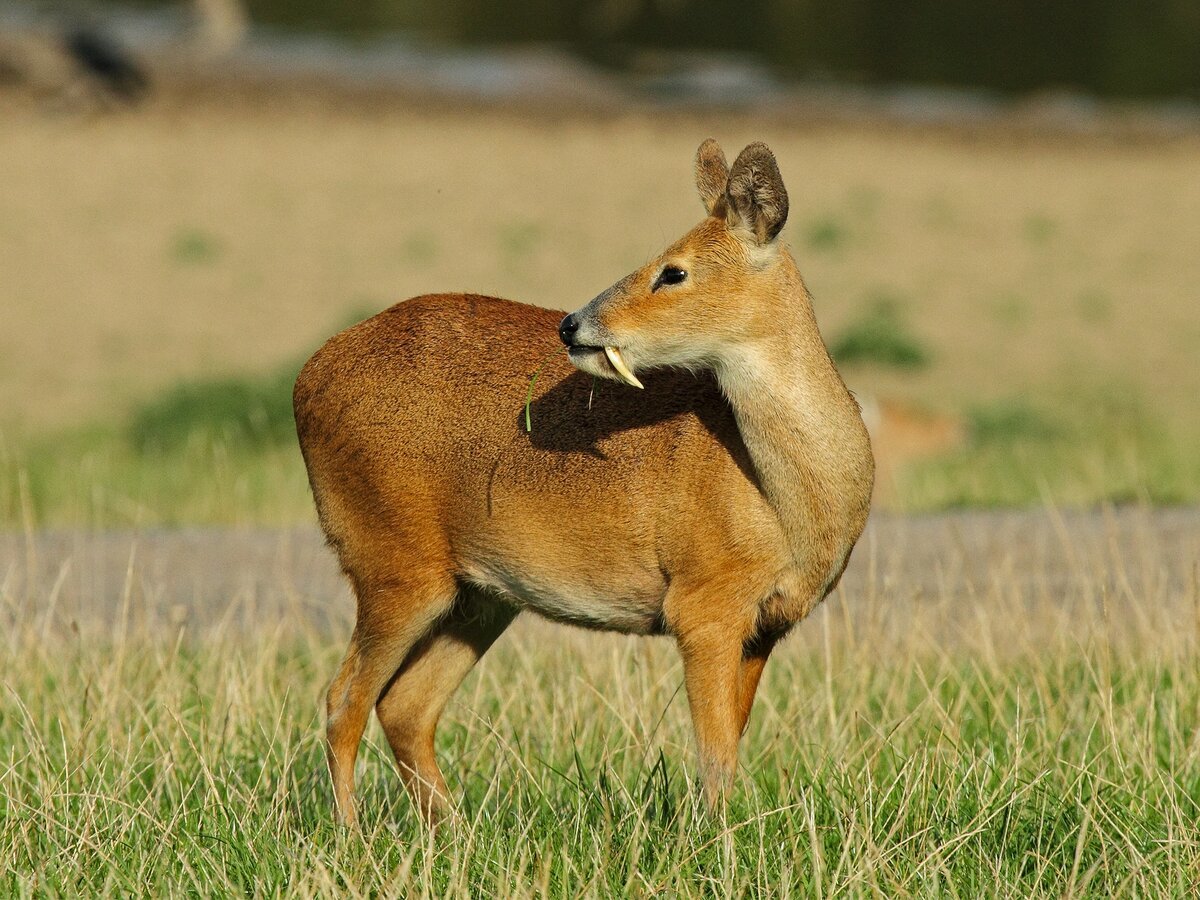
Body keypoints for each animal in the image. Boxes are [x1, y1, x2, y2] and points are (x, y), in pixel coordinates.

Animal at [290, 139, 873, 825]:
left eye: (673, 272)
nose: (573, 324)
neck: (788, 501)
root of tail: (306, 379)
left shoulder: (766, 625)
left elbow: (729, 743)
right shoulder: (702, 603)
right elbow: (716, 756)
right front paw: (715, 841)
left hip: (478, 595)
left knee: (404, 706)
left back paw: (455, 833)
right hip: (392, 564)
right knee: (343, 700)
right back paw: (354, 836)